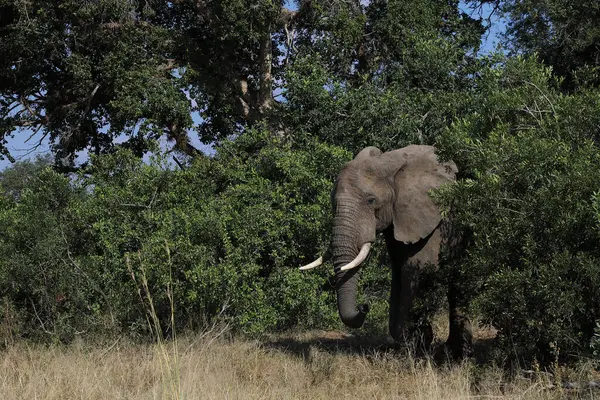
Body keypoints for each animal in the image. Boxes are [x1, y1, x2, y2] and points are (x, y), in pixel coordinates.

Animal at [300, 145, 474, 358]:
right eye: (333, 202)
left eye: (371, 201)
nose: (364, 305)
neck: (391, 164)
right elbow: (398, 268)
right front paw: (409, 342)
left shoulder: (433, 220)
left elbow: (418, 268)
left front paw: (412, 347)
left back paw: (459, 352)